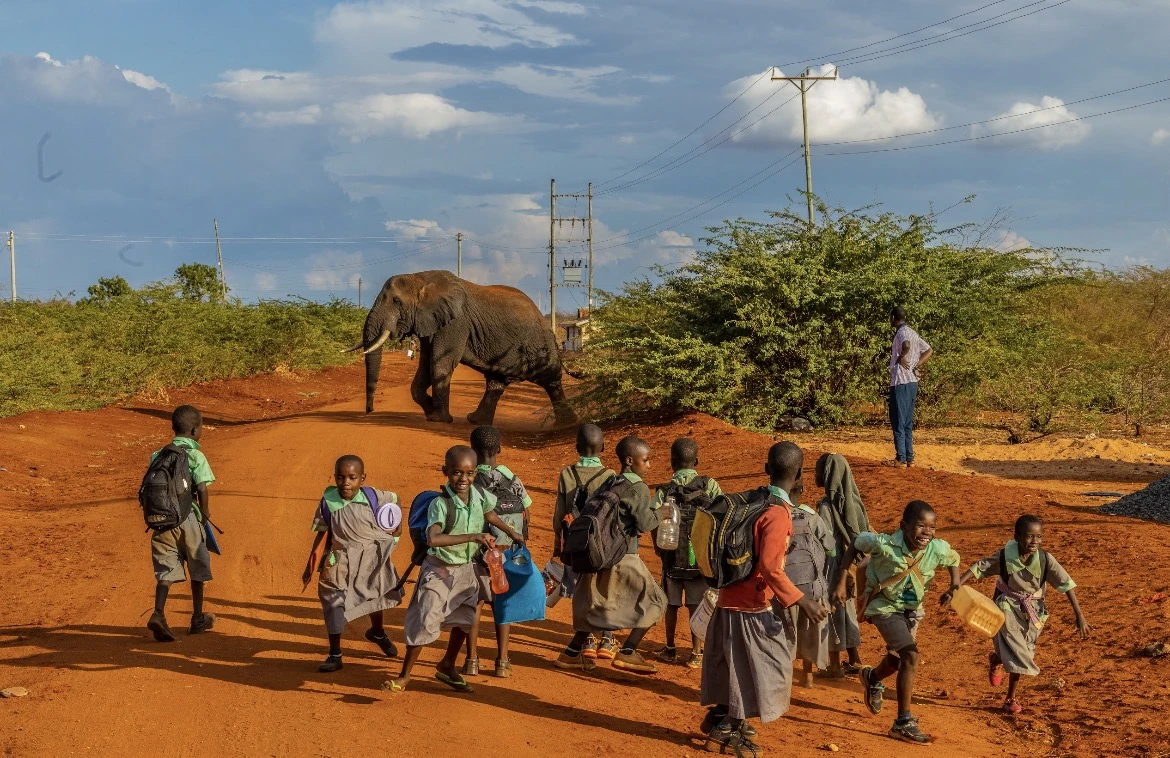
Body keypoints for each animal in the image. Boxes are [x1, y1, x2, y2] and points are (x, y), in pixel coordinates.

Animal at [345, 270, 575, 426]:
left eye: (396, 301)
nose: (369, 411)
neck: (420, 278)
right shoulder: (432, 323)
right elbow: (425, 366)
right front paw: (430, 412)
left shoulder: (455, 323)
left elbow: (440, 363)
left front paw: (439, 419)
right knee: (496, 383)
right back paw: (475, 421)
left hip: (539, 345)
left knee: (552, 381)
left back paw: (565, 426)